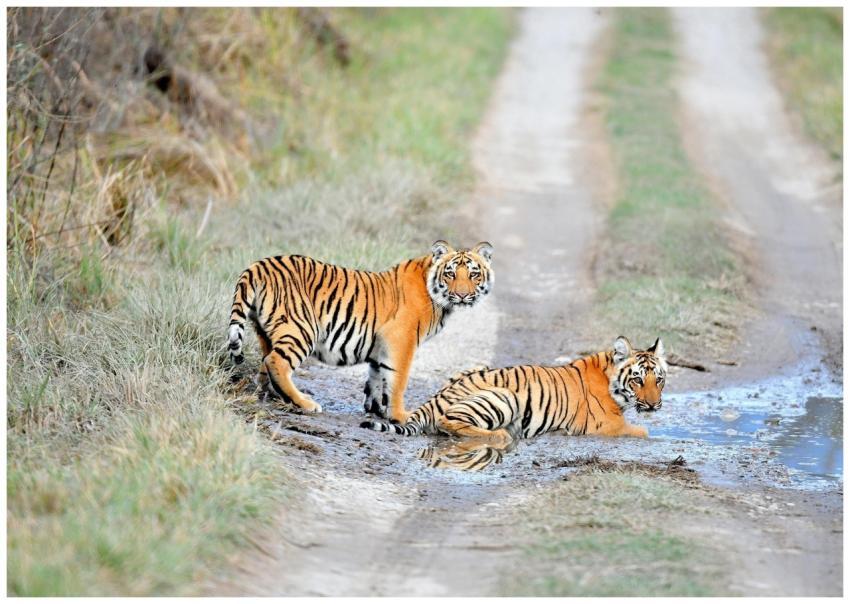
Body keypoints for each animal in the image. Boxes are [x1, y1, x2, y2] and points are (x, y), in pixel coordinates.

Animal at [227, 240, 494, 422]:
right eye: (450, 273)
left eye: (474, 274)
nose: (462, 294)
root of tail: (259, 265)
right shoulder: (401, 341)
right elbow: (398, 380)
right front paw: (400, 415)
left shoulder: (381, 345)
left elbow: (377, 376)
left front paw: (376, 409)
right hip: (302, 329)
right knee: (277, 362)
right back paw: (304, 403)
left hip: (267, 331)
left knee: (266, 362)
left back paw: (272, 394)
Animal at [361, 336, 666, 443]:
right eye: (638, 380)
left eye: (659, 380)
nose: (654, 405)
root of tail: (433, 400)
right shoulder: (607, 425)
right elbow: (642, 431)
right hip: (504, 395)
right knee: (447, 422)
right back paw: (500, 435)